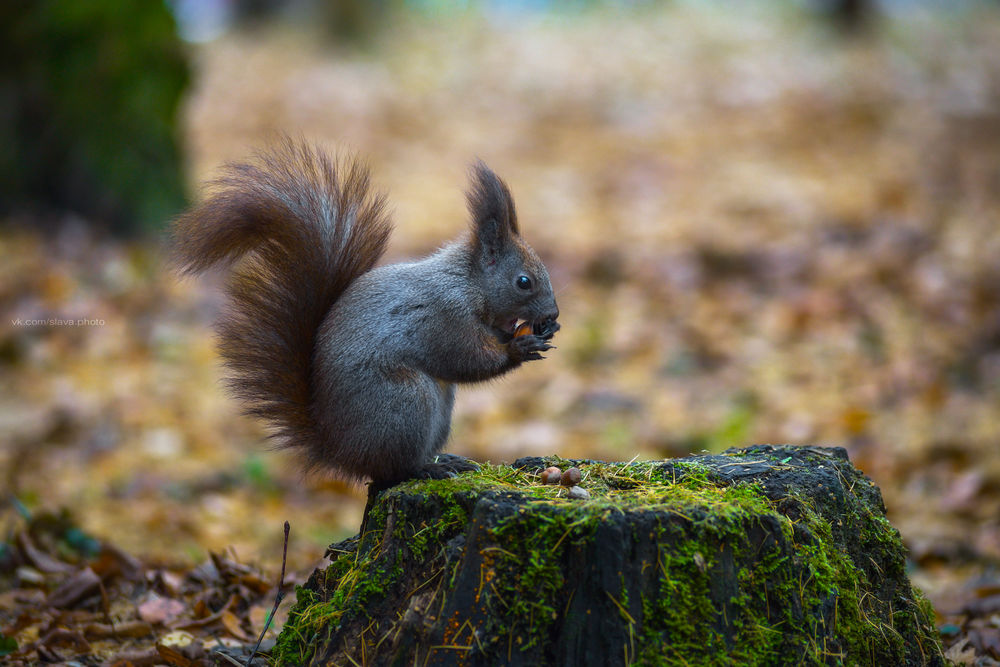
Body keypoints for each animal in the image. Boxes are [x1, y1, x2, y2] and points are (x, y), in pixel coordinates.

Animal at [175, 140, 560, 486]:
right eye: (523, 281)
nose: (554, 313)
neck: (468, 283)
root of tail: (340, 450)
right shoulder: (442, 316)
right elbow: (466, 359)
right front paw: (519, 348)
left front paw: (540, 332)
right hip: (404, 402)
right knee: (392, 470)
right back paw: (426, 469)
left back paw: (445, 460)